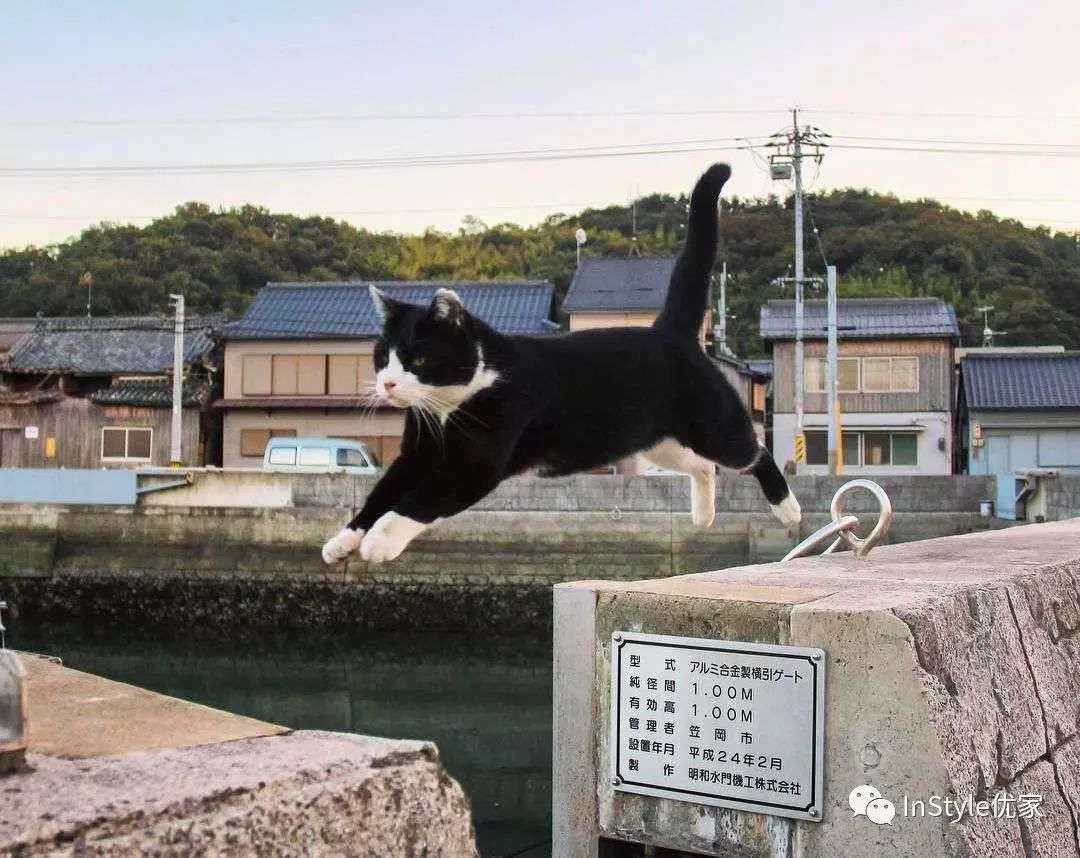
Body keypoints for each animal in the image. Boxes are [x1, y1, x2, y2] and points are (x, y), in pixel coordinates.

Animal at [319, 161, 803, 566]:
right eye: (382, 359)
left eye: (417, 357)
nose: (387, 385)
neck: (450, 405)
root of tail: (669, 330)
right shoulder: (417, 455)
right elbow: (381, 493)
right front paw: (344, 540)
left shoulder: (475, 464)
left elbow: (420, 501)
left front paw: (381, 541)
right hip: (651, 438)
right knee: (702, 465)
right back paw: (703, 516)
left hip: (712, 425)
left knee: (752, 453)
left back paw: (789, 509)